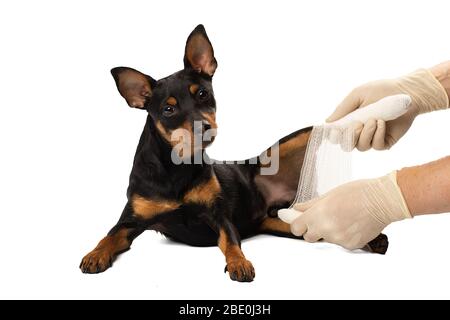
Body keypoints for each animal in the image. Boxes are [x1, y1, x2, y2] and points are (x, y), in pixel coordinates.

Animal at [80, 24, 386, 282]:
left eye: (202, 94)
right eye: (168, 109)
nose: (203, 127)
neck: (177, 167)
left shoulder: (219, 216)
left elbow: (230, 241)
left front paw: (239, 263)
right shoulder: (130, 221)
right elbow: (109, 236)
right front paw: (94, 255)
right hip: (287, 224)